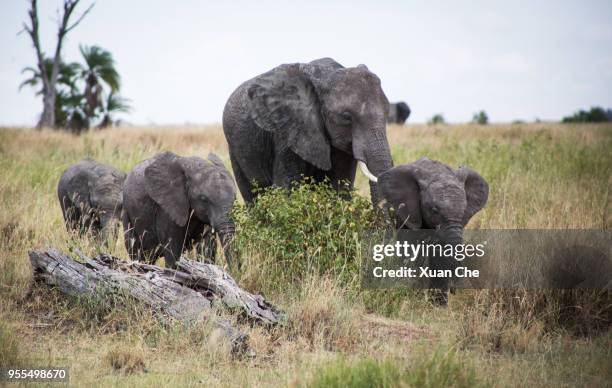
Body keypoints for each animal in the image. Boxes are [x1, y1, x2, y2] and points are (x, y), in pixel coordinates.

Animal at [222, 56, 394, 206]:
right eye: (346, 117)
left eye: (388, 112)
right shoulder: (289, 131)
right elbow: (287, 189)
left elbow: (339, 188)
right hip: (235, 149)